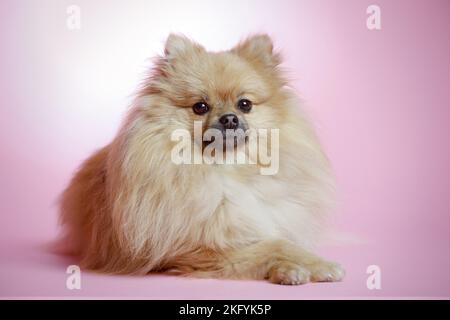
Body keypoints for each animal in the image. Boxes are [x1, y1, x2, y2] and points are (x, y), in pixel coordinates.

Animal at [59, 33, 344, 284]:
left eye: (244, 104)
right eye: (200, 107)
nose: (229, 119)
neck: (227, 168)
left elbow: (281, 241)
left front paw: (312, 265)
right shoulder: (199, 249)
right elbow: (274, 245)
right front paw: (297, 267)